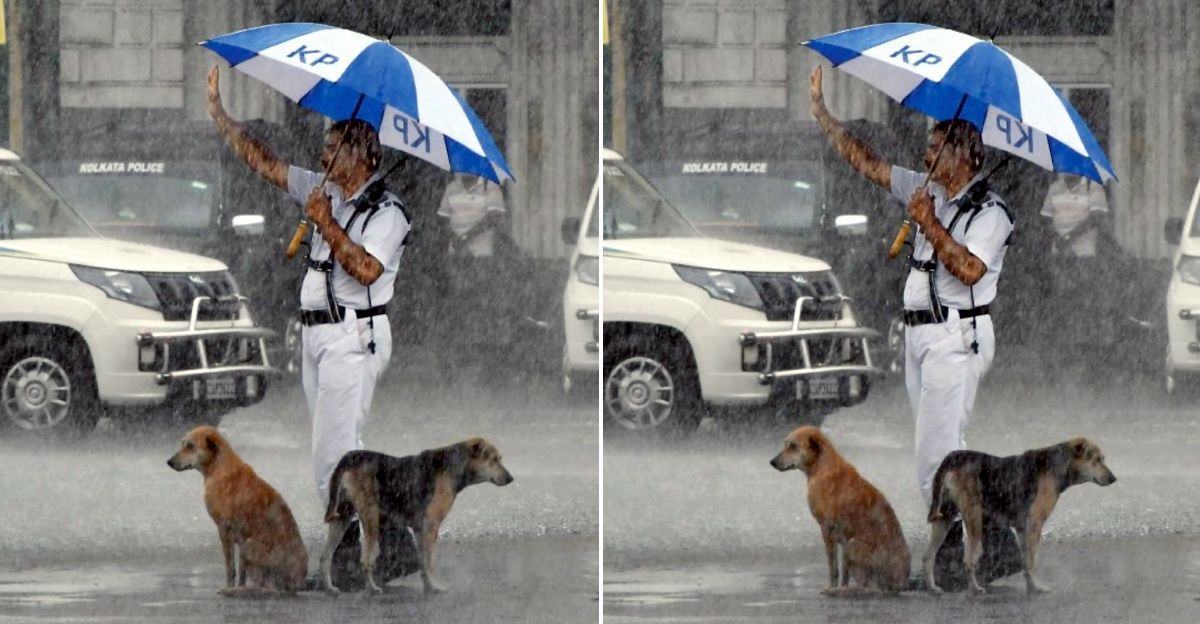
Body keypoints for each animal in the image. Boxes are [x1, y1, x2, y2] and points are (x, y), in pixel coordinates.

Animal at [169, 424, 309, 595]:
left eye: (190, 446)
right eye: (183, 444)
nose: (169, 462)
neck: (219, 467)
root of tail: (297, 583)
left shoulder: (224, 530)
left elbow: (230, 568)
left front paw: (229, 587)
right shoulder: (240, 538)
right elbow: (241, 572)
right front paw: (238, 586)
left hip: (250, 546)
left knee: (269, 587)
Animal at [772, 424, 912, 595]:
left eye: (793, 446)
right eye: (786, 444)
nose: (772, 462)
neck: (822, 467)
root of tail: (900, 583)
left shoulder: (827, 529)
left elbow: (833, 567)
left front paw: (832, 587)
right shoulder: (843, 539)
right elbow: (844, 572)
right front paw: (842, 586)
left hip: (853, 546)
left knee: (871, 587)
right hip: (849, 547)